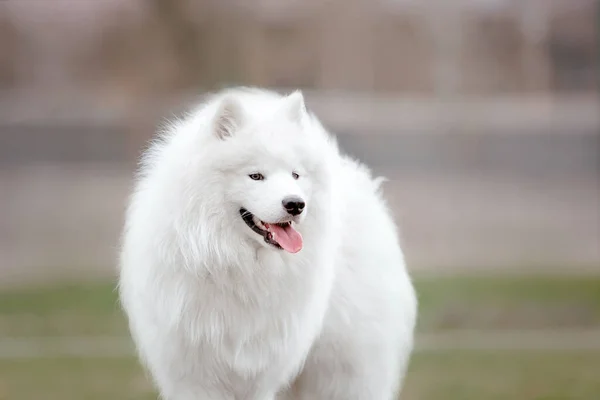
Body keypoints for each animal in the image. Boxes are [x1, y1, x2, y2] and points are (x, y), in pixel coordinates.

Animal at [117, 87, 418, 400]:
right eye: (256, 176)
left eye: (295, 175)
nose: (296, 204)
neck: (234, 264)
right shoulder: (194, 374)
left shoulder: (260, 371)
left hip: (341, 374)